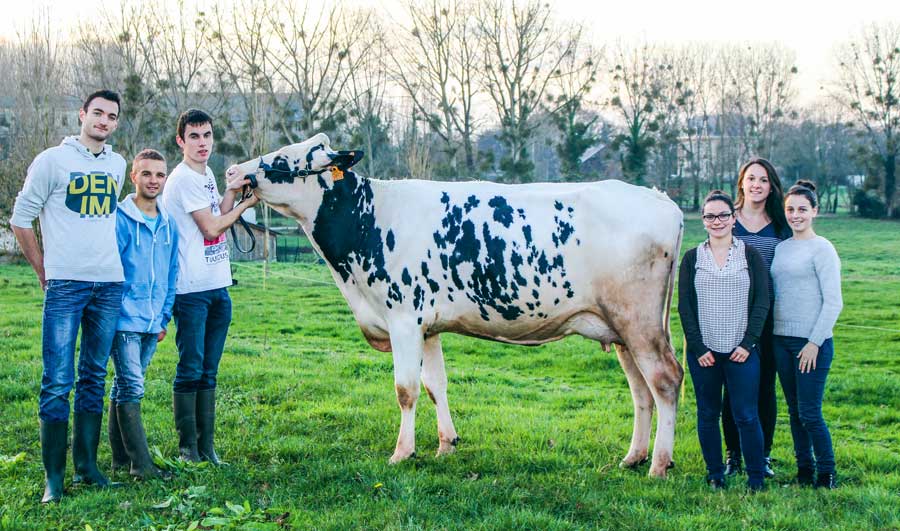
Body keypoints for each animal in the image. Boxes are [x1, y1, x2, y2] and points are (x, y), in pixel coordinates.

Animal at [229, 133, 684, 478]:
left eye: (282, 159)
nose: (234, 171)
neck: (368, 222)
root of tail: (662, 199)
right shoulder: (427, 326)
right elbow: (435, 385)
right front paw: (446, 443)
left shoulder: (403, 319)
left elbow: (406, 389)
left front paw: (402, 452)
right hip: (621, 329)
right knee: (641, 391)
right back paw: (633, 457)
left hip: (640, 322)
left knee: (665, 380)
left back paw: (658, 465)